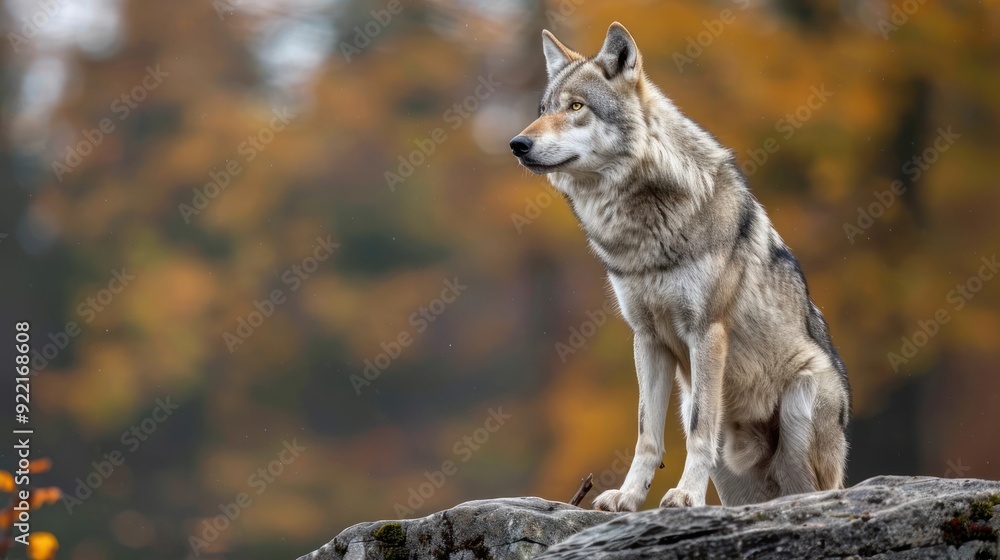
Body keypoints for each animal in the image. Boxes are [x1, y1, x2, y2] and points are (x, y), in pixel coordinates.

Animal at [509, 22, 850, 511]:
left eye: (576, 107)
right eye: (542, 111)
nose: (518, 144)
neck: (642, 228)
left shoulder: (706, 331)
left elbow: (698, 430)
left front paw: (686, 494)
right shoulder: (646, 337)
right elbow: (646, 435)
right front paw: (629, 497)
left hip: (801, 412)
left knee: (817, 491)